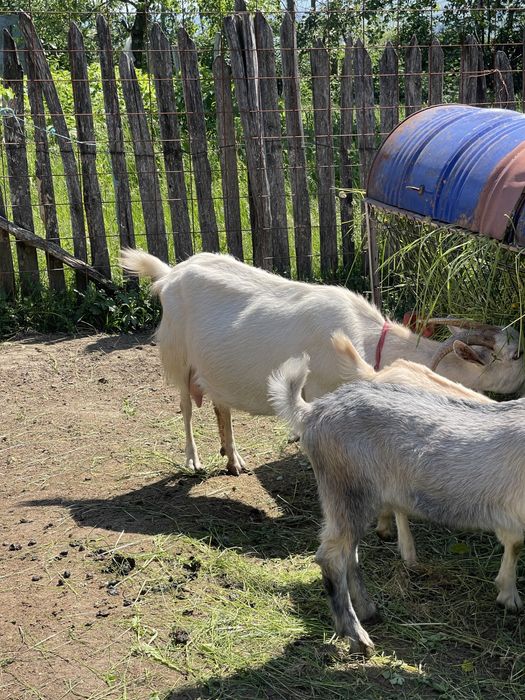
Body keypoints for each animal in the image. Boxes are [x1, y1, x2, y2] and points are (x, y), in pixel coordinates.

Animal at [120, 248, 524, 475]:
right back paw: (194, 460)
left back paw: (233, 460)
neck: (367, 341)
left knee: (221, 406)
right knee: (186, 406)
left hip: (214, 366)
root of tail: (170, 274)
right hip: (177, 355)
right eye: (516, 354)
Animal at [268, 355, 525, 655]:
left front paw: (507, 594)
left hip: (351, 499)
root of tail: (312, 412)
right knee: (332, 557)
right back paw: (358, 637)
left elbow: (514, 545)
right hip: (347, 491)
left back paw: (368, 611)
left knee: (349, 553)